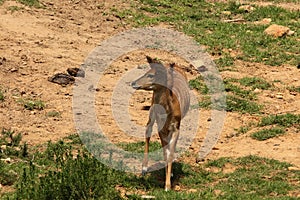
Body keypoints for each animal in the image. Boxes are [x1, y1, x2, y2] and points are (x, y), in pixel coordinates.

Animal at [131, 56, 190, 191]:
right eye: (147, 72)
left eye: (151, 75)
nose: (133, 83)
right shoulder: (161, 128)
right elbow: (165, 151)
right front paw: (167, 184)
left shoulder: (176, 127)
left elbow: (170, 152)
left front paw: (168, 184)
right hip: (152, 113)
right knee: (147, 131)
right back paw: (144, 169)